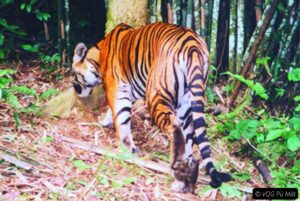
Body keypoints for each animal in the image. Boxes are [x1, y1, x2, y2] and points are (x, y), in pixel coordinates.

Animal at [71, 22, 231, 193]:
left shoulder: (116, 89)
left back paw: (177, 170)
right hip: (188, 102)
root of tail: (193, 44)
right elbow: (115, 114)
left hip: (156, 94)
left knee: (174, 127)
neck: (98, 56)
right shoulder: (130, 92)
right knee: (190, 140)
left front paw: (125, 150)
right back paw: (185, 180)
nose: (75, 89)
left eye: (74, 75)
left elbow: (121, 119)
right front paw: (106, 122)